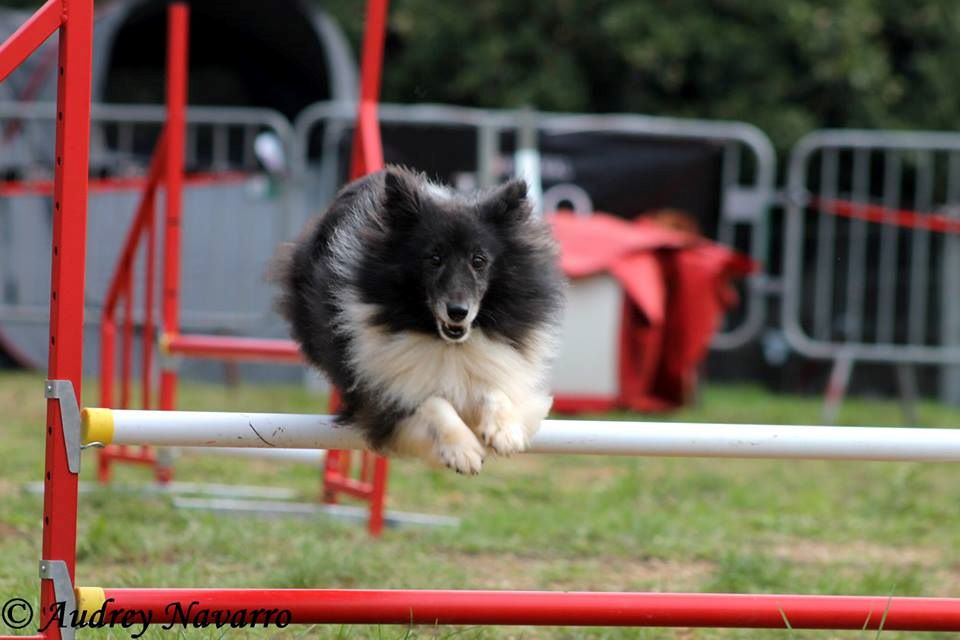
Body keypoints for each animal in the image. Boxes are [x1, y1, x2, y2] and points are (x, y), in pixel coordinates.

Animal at [272, 168, 564, 472]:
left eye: (479, 260)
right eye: (434, 258)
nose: (458, 312)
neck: (443, 340)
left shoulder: (494, 362)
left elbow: (495, 389)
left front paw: (505, 433)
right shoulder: (381, 392)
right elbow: (431, 401)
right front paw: (463, 451)